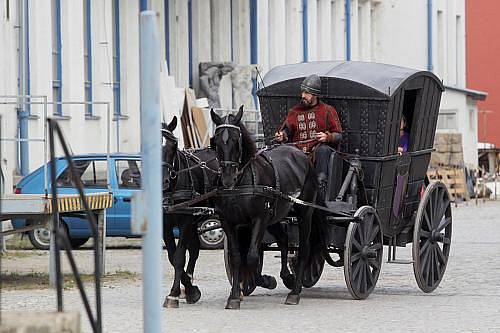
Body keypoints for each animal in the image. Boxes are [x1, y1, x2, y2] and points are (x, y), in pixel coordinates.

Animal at [161, 115, 220, 308]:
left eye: (173, 145)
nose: (163, 180)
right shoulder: (165, 224)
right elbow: (172, 256)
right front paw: (188, 289)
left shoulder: (185, 221)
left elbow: (179, 257)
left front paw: (174, 294)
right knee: (194, 249)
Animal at [211, 106, 316, 308]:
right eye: (216, 141)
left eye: (236, 140)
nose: (227, 178)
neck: (240, 183)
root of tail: (301, 154)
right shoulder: (229, 221)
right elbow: (238, 256)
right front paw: (235, 295)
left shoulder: (259, 218)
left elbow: (251, 257)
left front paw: (265, 280)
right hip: (274, 217)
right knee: (283, 239)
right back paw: (287, 277)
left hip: (304, 213)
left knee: (305, 248)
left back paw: (295, 291)